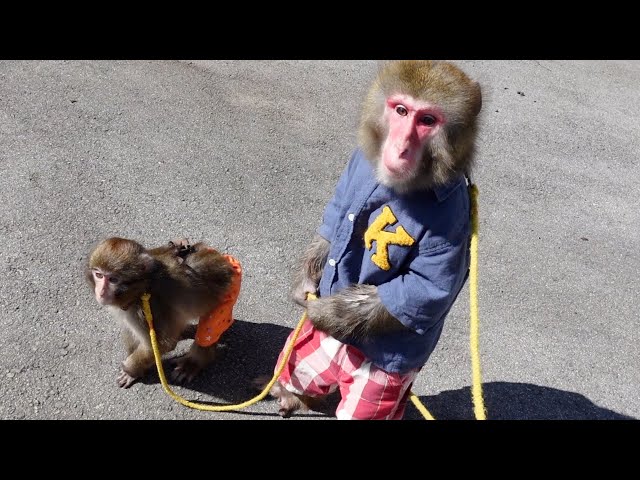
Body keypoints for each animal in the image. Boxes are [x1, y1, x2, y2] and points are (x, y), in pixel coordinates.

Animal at [86, 237, 242, 388]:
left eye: (113, 279)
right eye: (98, 275)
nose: (101, 292)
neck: (142, 287)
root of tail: (223, 260)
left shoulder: (148, 309)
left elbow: (162, 345)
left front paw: (131, 370)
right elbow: (130, 330)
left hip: (227, 293)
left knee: (209, 329)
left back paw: (194, 362)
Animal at [260, 60, 482, 419]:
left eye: (427, 120)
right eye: (401, 110)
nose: (401, 146)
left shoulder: (453, 222)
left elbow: (420, 291)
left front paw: (322, 312)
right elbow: (337, 216)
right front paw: (305, 285)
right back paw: (291, 392)